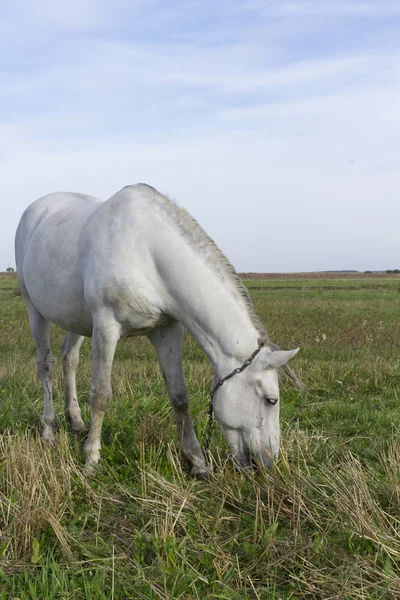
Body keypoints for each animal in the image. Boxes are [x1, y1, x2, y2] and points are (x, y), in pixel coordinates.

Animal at [14, 180, 298, 476]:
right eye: (271, 400)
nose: (269, 463)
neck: (147, 253)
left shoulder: (168, 331)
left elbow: (179, 396)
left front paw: (197, 462)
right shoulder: (106, 327)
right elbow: (101, 395)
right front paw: (91, 461)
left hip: (77, 320)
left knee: (69, 359)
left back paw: (76, 421)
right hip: (35, 310)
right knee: (46, 364)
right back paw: (49, 430)